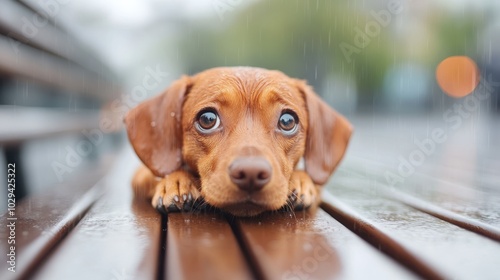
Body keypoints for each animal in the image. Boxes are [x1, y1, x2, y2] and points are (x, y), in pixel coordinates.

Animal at [125, 67, 352, 217]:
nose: (251, 173)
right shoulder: (139, 174)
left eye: (288, 121)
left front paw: (300, 180)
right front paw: (176, 181)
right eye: (207, 119)